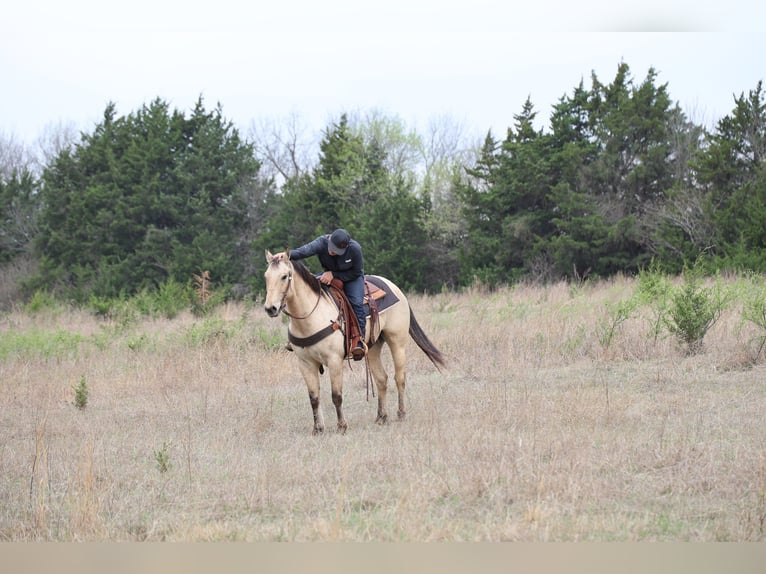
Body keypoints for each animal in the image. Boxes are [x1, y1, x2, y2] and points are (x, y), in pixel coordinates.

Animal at [263, 250, 445, 434]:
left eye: (284, 276)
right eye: (266, 276)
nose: (270, 308)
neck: (311, 316)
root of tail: (393, 286)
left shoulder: (334, 360)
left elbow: (336, 396)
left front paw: (341, 426)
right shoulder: (305, 363)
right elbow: (314, 397)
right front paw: (318, 429)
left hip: (397, 342)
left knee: (399, 377)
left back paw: (401, 413)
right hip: (372, 347)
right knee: (381, 379)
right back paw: (381, 417)